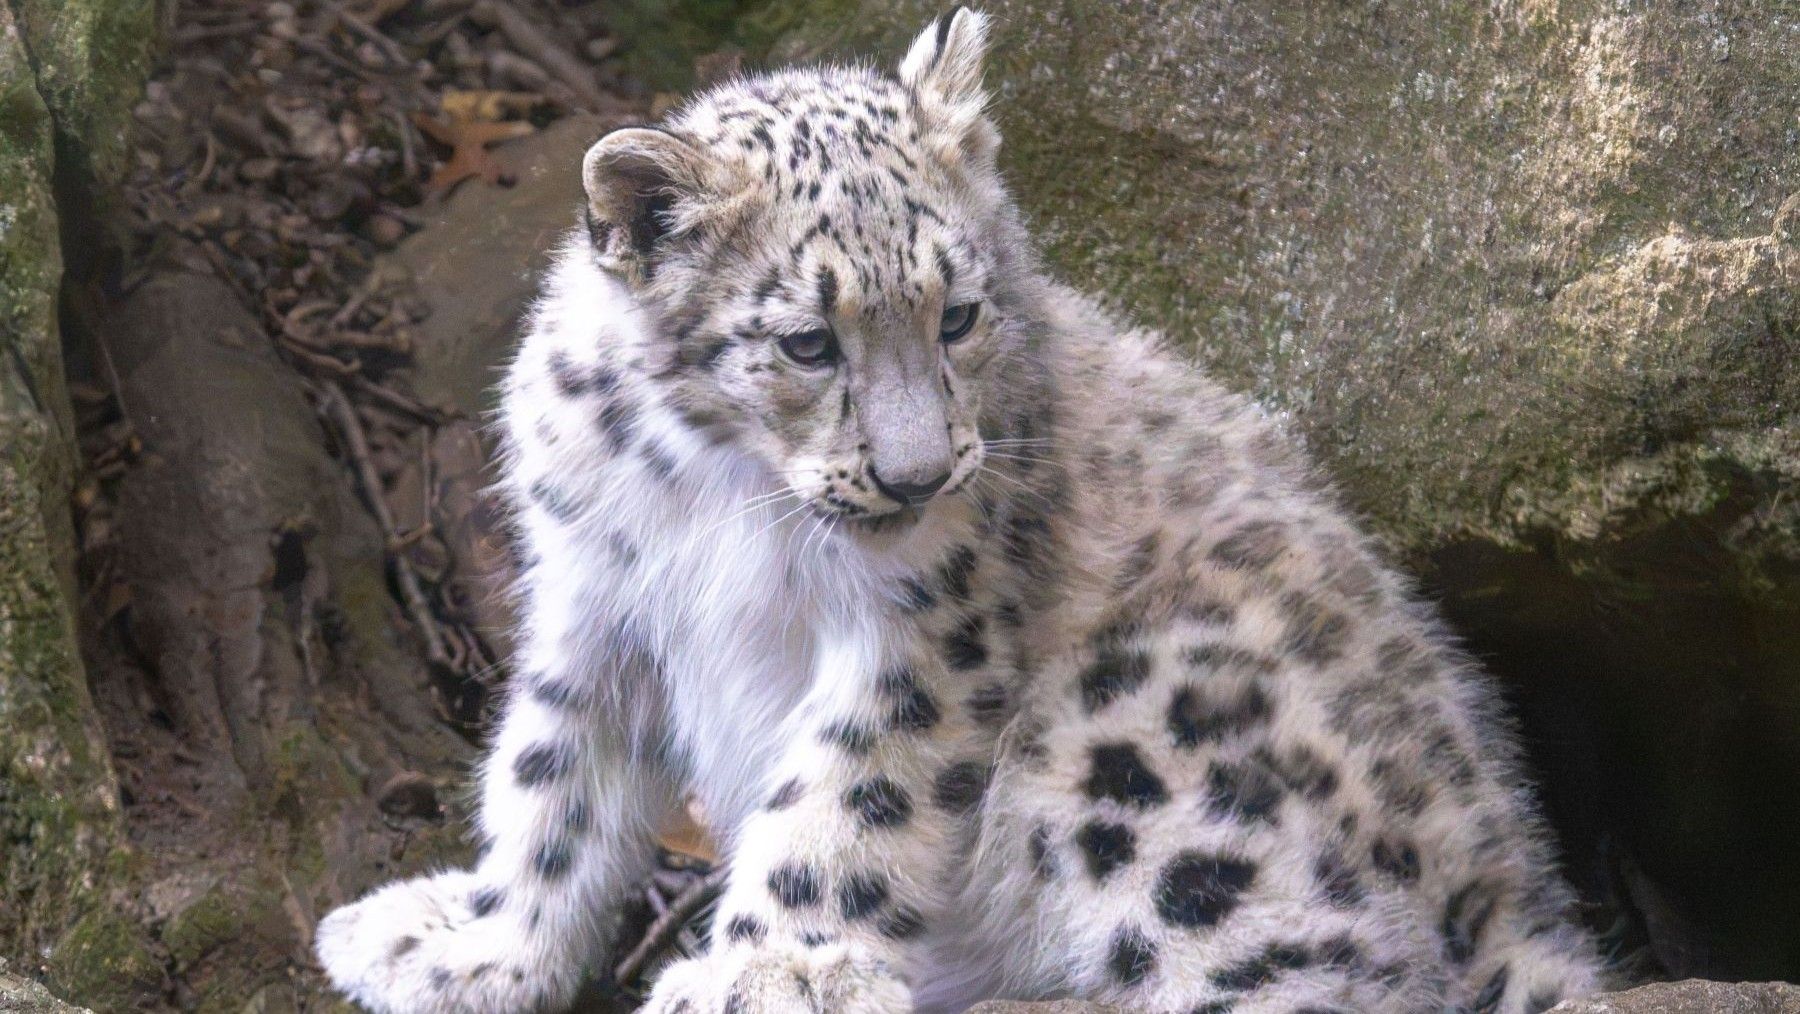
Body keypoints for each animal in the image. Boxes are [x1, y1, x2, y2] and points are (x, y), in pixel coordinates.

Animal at [314, 9, 1609, 1013]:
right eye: (807, 341)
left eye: (959, 315)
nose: (918, 476)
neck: (720, 489)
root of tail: (1516, 884)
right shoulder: (597, 597)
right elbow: (552, 782)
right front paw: (473, 950)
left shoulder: (929, 620)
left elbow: (843, 792)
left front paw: (772, 970)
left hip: (1136, 727)